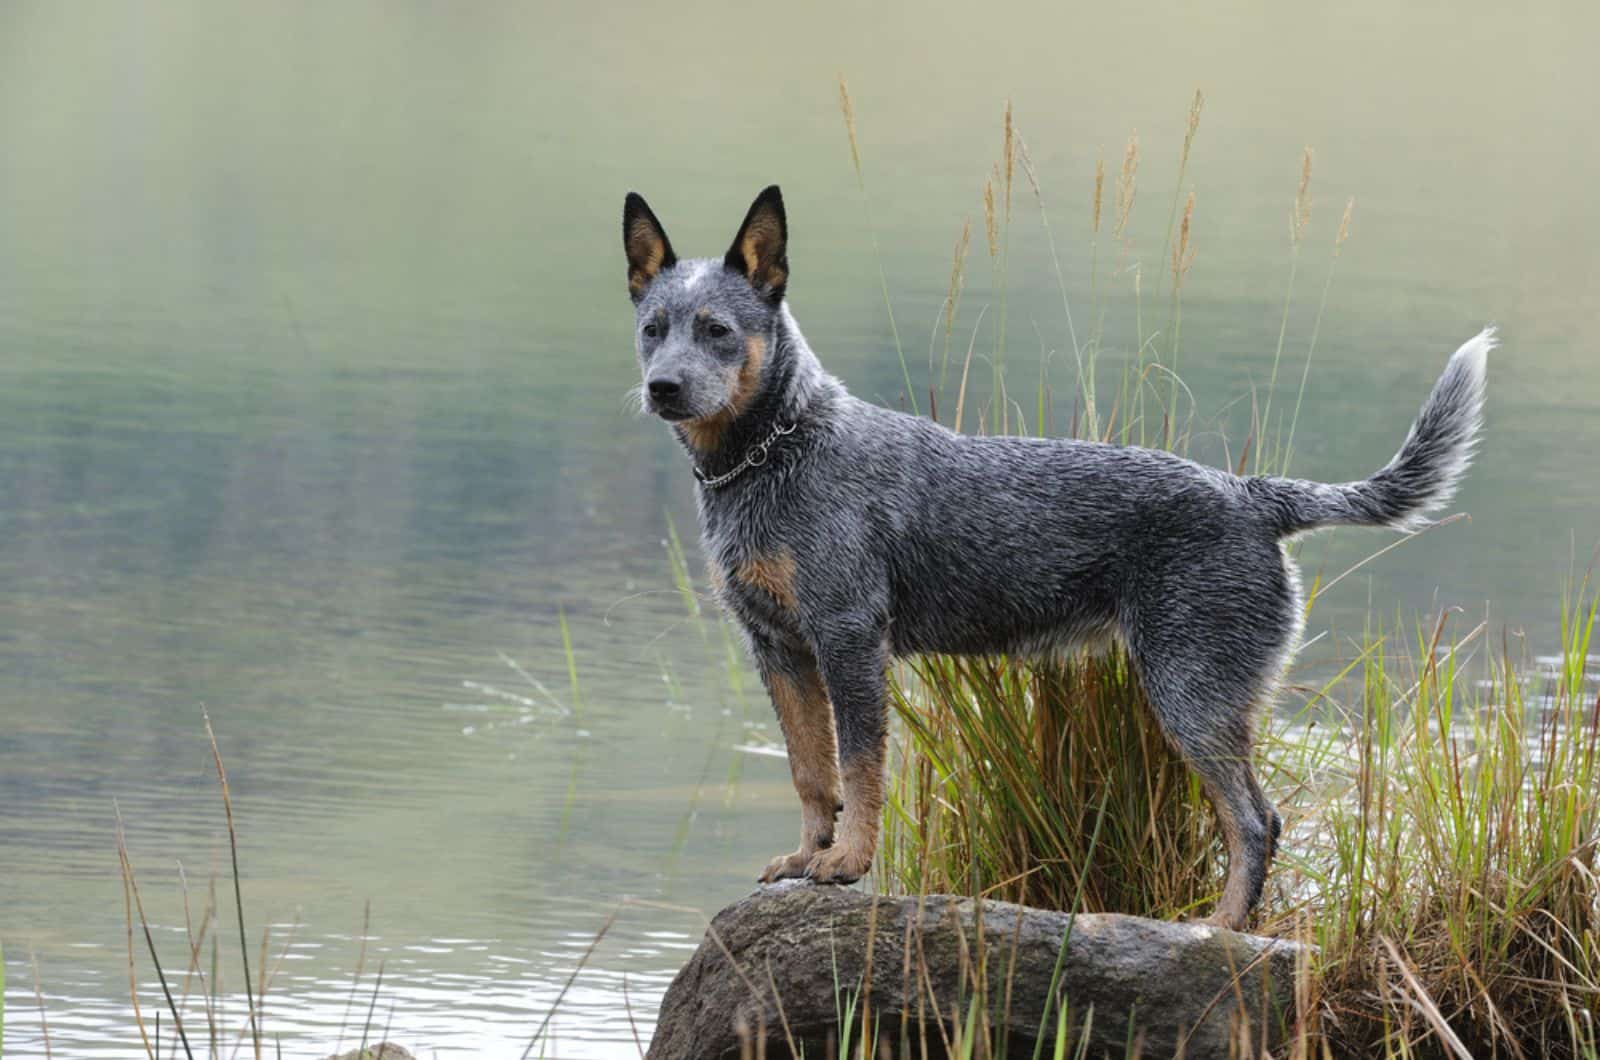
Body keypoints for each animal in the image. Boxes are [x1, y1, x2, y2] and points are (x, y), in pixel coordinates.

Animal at [620, 186, 1484, 935]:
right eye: (654, 327)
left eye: (717, 329)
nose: (662, 387)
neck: (776, 453)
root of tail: (1251, 495)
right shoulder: (779, 649)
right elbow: (811, 773)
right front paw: (807, 858)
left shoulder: (849, 641)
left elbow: (861, 770)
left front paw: (848, 863)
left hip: (1191, 696)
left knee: (1254, 821)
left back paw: (1219, 929)